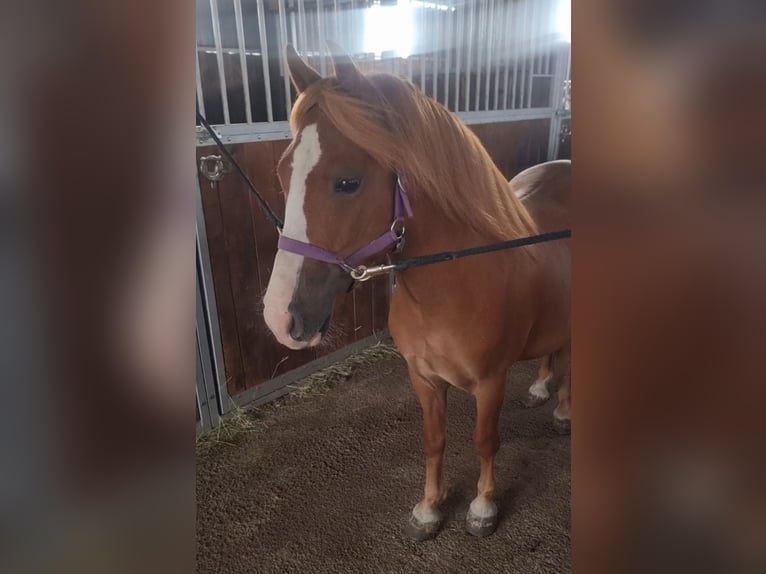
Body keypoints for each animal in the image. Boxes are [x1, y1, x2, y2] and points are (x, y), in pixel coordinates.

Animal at [263, 45, 571, 540]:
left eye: (347, 182)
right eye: (282, 172)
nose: (278, 316)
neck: (452, 287)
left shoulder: (491, 381)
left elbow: (485, 440)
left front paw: (483, 506)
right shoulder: (422, 377)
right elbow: (433, 440)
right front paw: (429, 508)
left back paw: (563, 412)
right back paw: (543, 388)